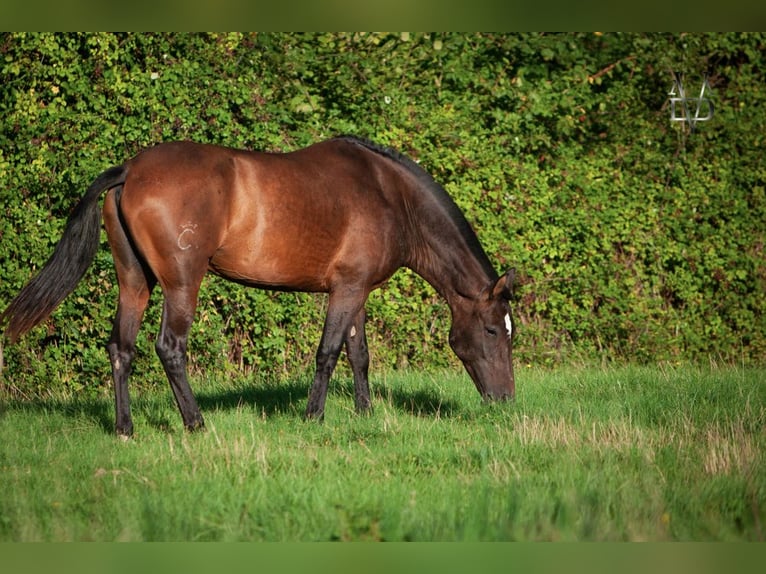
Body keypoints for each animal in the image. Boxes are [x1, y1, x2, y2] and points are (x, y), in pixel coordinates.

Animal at [1, 137, 516, 438]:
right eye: (494, 331)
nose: (506, 400)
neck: (389, 194)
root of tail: (131, 169)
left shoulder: (358, 289)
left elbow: (359, 353)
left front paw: (365, 413)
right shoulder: (346, 290)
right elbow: (329, 352)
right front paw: (313, 417)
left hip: (134, 281)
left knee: (121, 349)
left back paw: (126, 429)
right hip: (182, 283)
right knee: (169, 347)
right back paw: (195, 423)